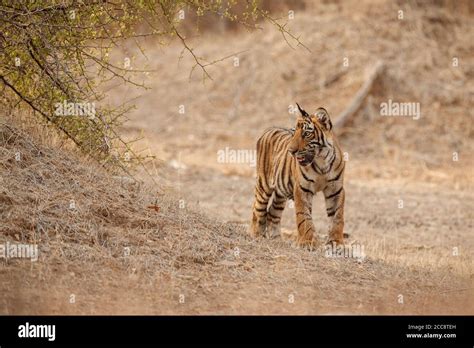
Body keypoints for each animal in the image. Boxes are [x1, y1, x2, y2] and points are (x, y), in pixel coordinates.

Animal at [250, 103, 346, 247]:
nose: (291, 151)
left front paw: (336, 242)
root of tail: (269, 129)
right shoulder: (302, 189)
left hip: (281, 192)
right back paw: (256, 236)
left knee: (272, 212)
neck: (321, 161)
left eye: (306, 134)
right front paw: (308, 242)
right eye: (294, 132)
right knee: (257, 209)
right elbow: (304, 216)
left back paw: (277, 239)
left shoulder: (335, 189)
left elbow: (337, 216)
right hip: (264, 185)